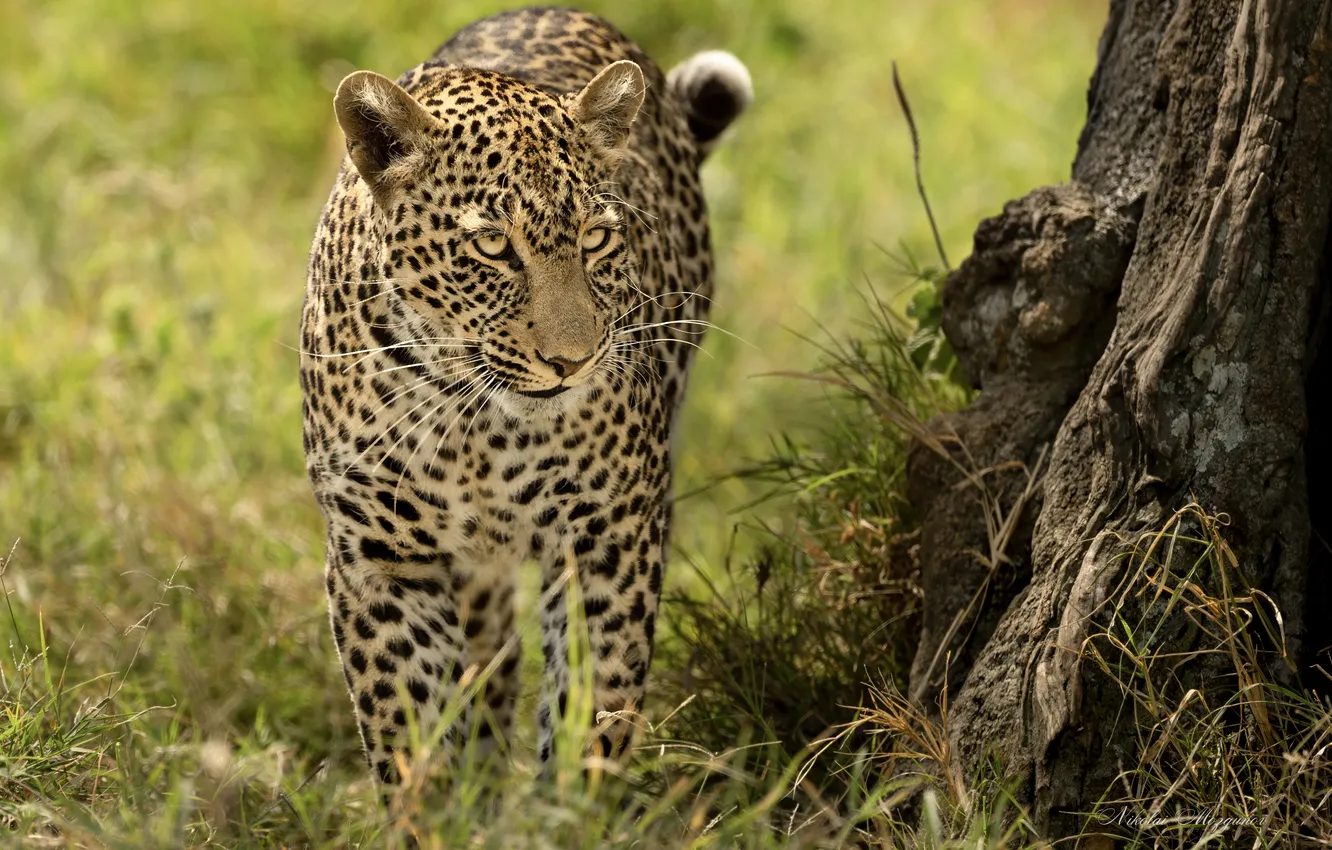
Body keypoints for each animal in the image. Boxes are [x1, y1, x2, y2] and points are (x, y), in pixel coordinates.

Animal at [299, 6, 751, 786]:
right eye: (491, 247)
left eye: (596, 239)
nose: (572, 361)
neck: (474, 422)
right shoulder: (379, 560)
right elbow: (409, 731)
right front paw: (432, 804)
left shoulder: (609, 537)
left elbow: (592, 705)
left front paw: (571, 801)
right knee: (490, 660)